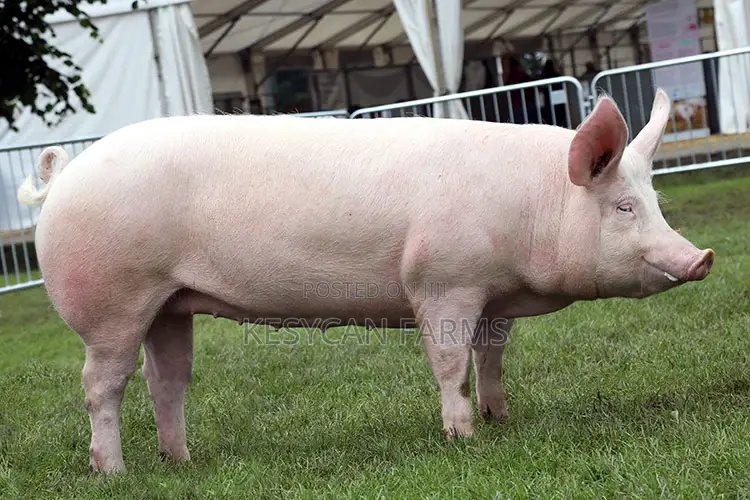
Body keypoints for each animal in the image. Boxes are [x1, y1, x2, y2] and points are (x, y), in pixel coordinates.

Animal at [17, 89, 714, 473]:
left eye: (654, 201)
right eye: (623, 207)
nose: (702, 258)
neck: (532, 204)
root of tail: (65, 175)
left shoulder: (492, 295)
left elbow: (491, 358)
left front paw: (501, 420)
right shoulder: (442, 281)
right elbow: (450, 363)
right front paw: (463, 438)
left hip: (170, 303)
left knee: (166, 382)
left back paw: (182, 462)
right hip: (113, 303)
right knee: (101, 386)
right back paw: (113, 473)